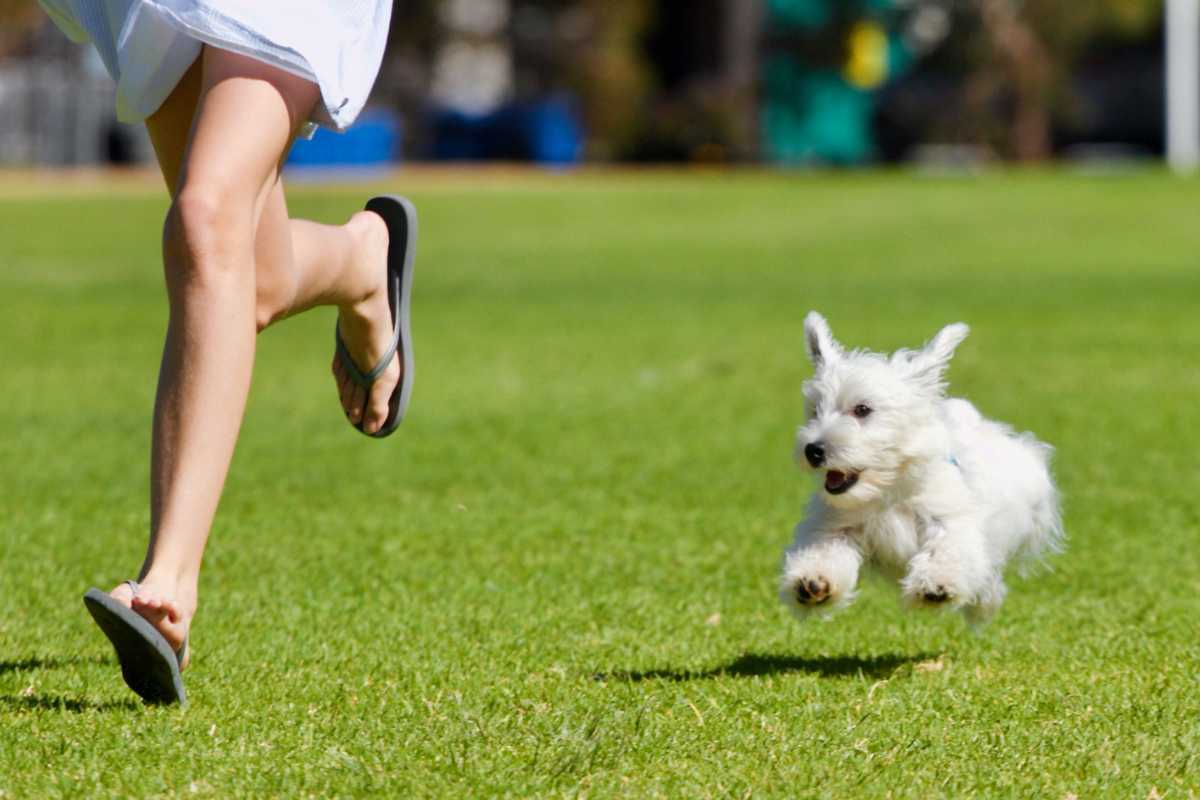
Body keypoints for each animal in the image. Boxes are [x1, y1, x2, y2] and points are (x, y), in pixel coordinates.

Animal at [782, 311, 1065, 623]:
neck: (888, 490)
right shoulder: (835, 527)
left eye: (862, 409)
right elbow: (824, 553)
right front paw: (812, 582)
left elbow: (947, 549)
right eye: (815, 410)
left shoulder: (950, 519)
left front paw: (937, 585)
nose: (813, 450)